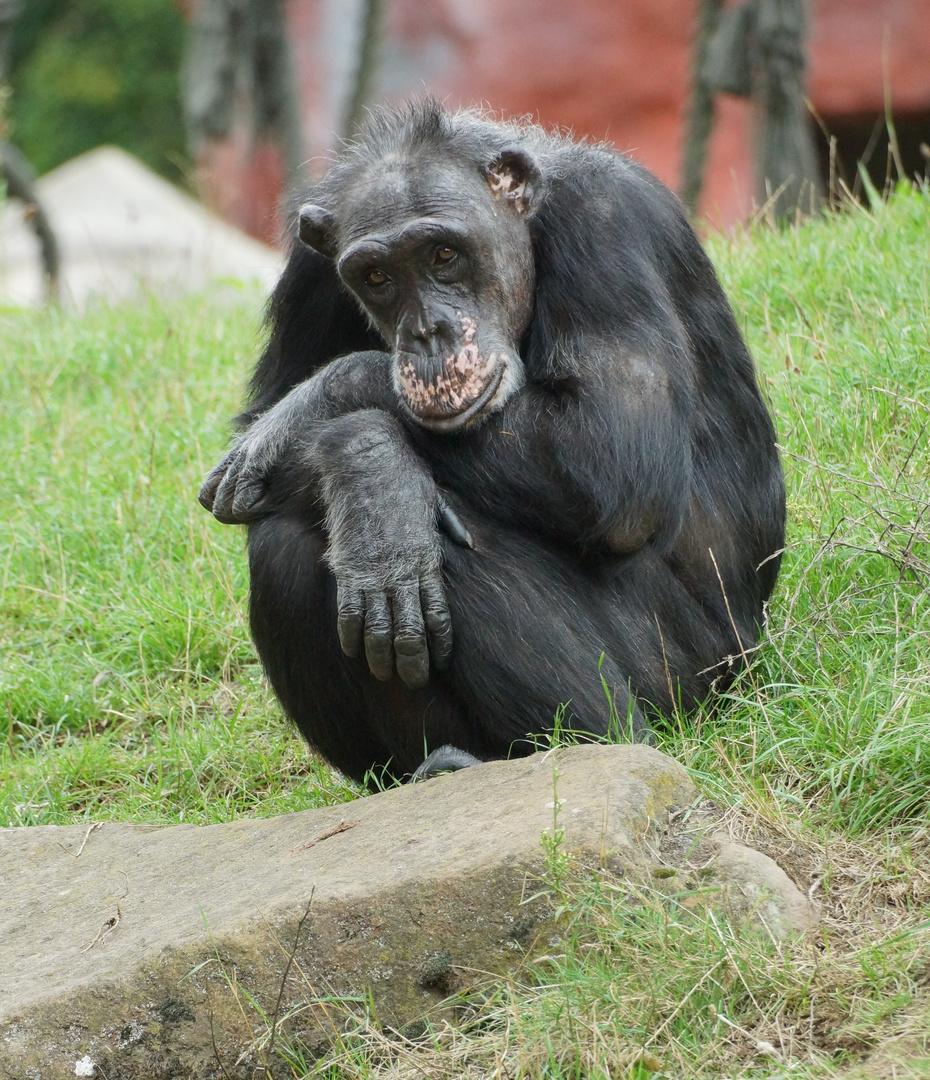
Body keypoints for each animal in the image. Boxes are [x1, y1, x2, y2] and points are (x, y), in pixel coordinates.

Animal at [199, 101, 786, 786]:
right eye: (377, 276)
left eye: (444, 255)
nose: (428, 332)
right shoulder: (308, 273)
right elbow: (256, 443)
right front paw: (367, 479)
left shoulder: (608, 225)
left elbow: (610, 453)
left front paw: (361, 464)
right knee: (285, 546)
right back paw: (441, 768)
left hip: (691, 678)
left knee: (455, 545)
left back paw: (594, 748)